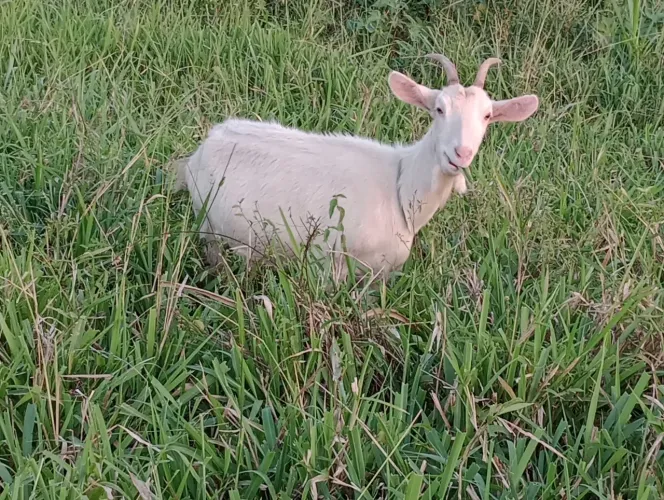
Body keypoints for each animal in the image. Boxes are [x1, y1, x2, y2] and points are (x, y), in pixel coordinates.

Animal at [173, 54, 539, 280]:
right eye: (438, 109)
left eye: (488, 115)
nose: (460, 153)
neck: (400, 185)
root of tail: (203, 148)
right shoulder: (331, 263)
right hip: (210, 228)